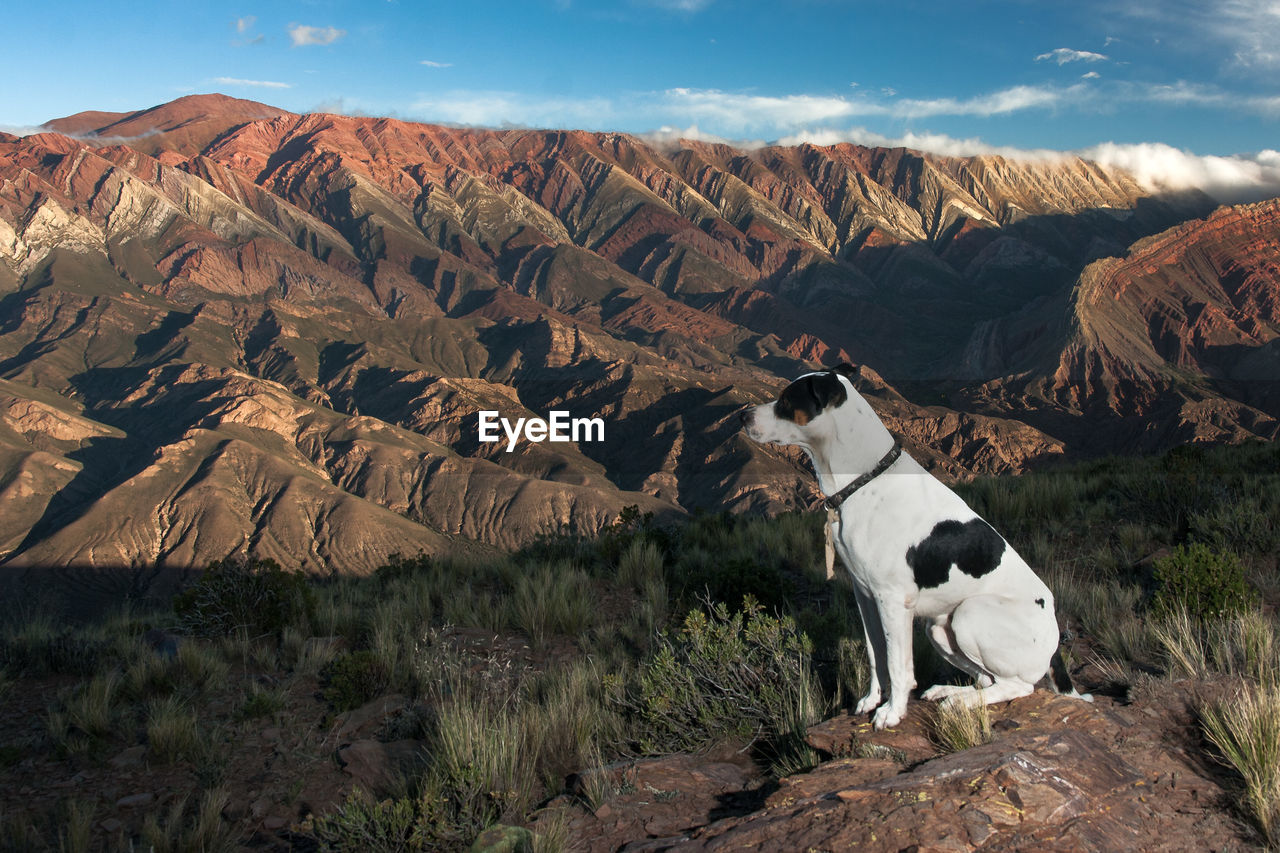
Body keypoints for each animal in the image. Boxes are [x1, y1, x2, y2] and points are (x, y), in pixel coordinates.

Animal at [742, 361, 1090, 727]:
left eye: (785, 400)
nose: (742, 416)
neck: (864, 479)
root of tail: (1055, 643)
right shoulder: (866, 596)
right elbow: (876, 654)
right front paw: (871, 700)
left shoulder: (894, 601)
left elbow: (899, 665)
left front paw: (892, 713)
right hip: (939, 627)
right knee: (986, 679)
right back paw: (950, 693)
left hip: (969, 614)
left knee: (1018, 686)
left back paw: (960, 703)